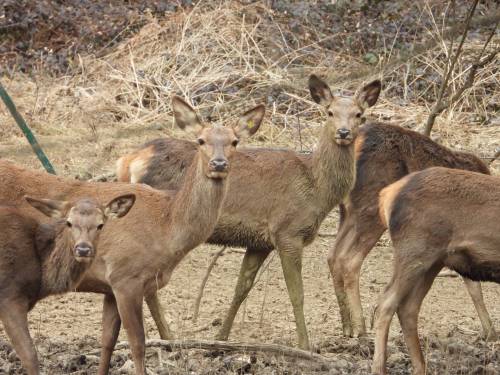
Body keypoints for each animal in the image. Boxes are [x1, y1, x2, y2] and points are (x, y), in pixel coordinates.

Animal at [116, 75, 382, 352]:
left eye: (359, 114)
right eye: (330, 112)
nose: (344, 132)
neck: (316, 189)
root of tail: (128, 161)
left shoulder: (259, 242)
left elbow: (241, 288)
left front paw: (221, 337)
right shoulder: (287, 231)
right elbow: (296, 293)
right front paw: (305, 345)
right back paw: (167, 336)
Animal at [328, 123, 496, 340]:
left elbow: (472, 284)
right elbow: (475, 285)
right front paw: (491, 331)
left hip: (347, 211)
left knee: (333, 256)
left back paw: (347, 325)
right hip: (371, 209)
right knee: (349, 260)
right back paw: (360, 326)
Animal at [370, 167, 500, 375]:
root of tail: (387, 194)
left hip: (433, 263)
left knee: (408, 307)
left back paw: (420, 367)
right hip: (414, 252)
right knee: (386, 302)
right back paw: (379, 369)